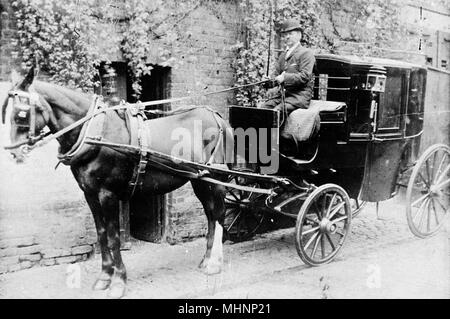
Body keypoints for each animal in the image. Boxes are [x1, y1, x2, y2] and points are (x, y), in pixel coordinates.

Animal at [2, 68, 236, 300]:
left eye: (22, 113)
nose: (14, 153)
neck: (96, 134)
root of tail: (217, 118)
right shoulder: (90, 194)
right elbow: (101, 233)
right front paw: (104, 276)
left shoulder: (108, 194)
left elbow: (114, 236)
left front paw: (118, 282)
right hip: (200, 181)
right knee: (210, 215)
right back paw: (206, 260)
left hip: (215, 180)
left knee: (219, 214)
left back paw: (215, 263)